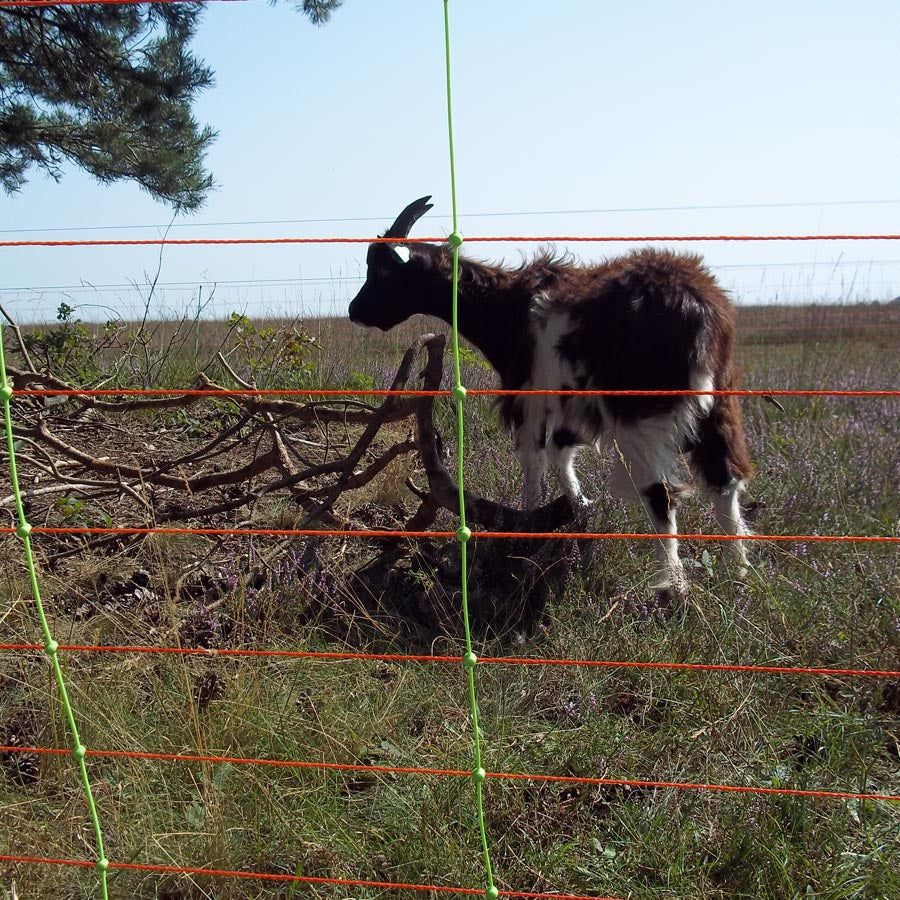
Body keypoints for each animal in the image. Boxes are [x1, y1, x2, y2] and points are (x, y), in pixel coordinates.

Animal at [349, 196, 753, 595]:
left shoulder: (528, 396)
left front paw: (528, 531)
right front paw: (580, 512)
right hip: (720, 400)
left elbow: (534, 460)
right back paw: (738, 574)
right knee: (725, 478)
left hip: (637, 410)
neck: (506, 309)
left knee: (661, 492)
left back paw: (672, 583)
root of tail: (698, 311)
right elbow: (561, 452)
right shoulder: (571, 403)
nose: (354, 311)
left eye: (384, 272)